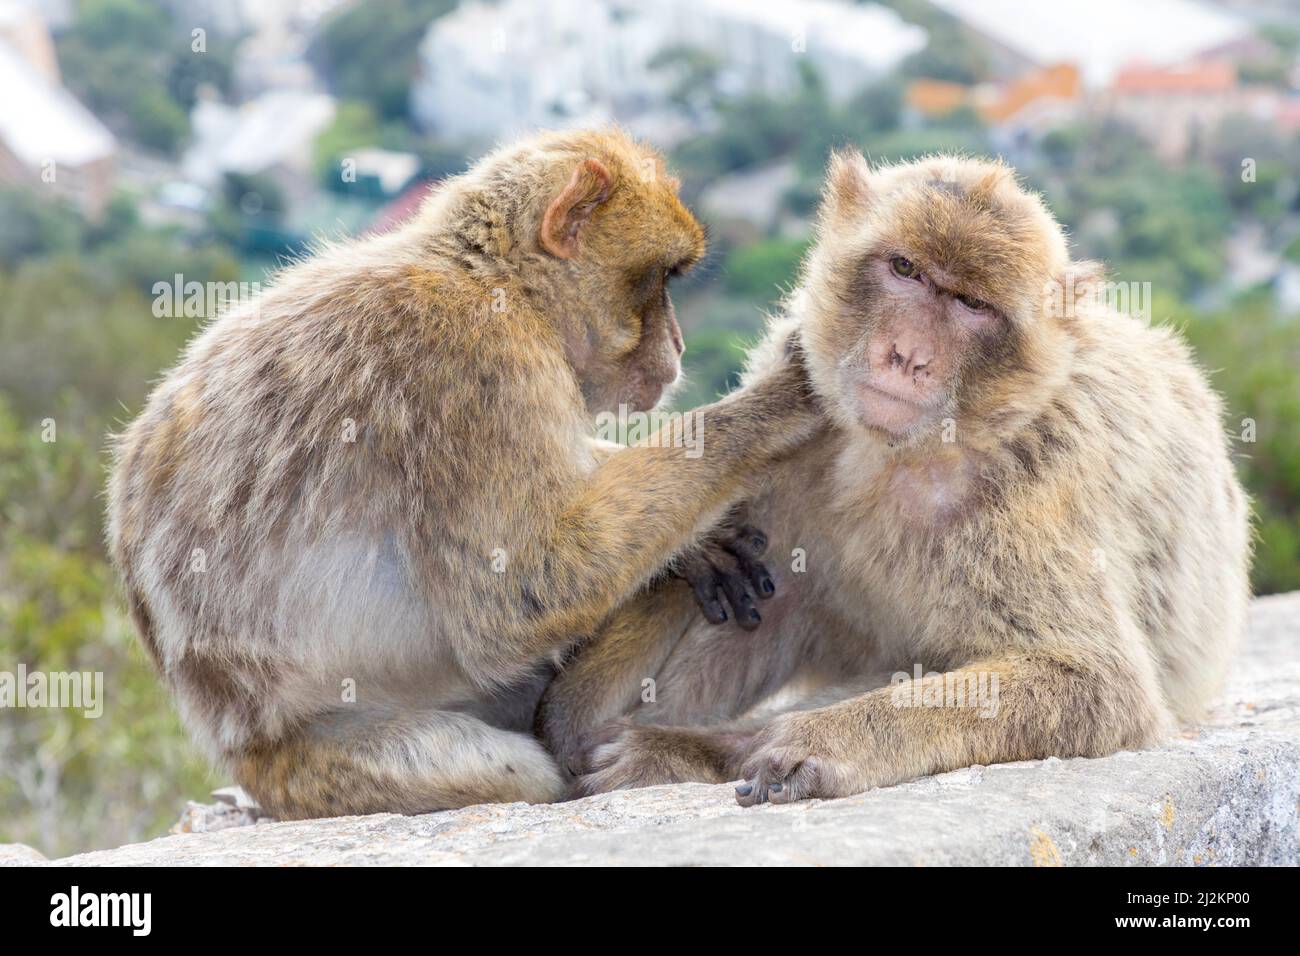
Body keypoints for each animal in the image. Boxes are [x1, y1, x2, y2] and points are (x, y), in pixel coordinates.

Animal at [114, 127, 821, 816]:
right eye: (663, 277)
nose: (677, 344)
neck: (497, 285)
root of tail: (235, 743)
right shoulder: (478, 363)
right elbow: (525, 590)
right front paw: (770, 407)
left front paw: (696, 546)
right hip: (321, 766)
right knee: (516, 767)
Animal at [538, 151, 1248, 806]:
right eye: (905, 270)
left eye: (970, 303)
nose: (906, 356)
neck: (899, 452)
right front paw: (697, 559)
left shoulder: (1038, 476)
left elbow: (1099, 684)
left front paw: (829, 739)